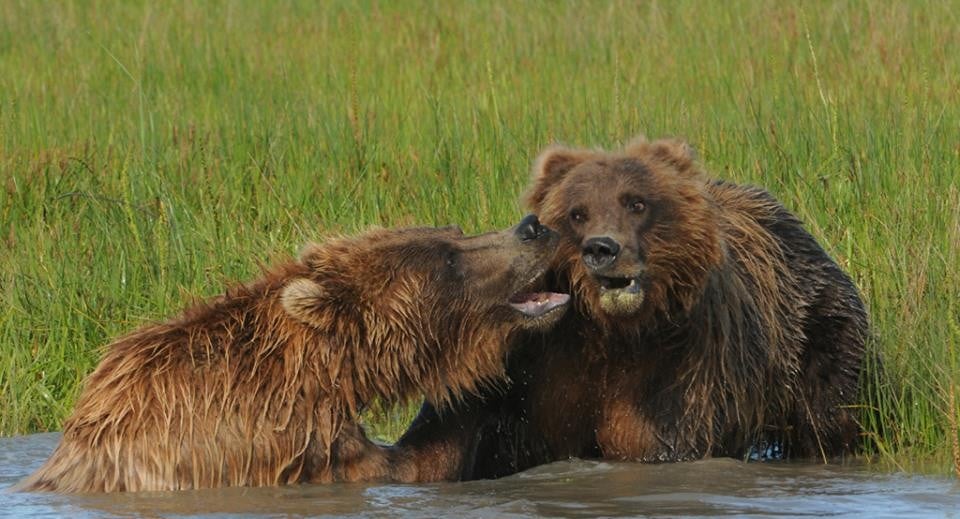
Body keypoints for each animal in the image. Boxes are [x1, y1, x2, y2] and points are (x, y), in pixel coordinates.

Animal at [390, 138, 872, 484]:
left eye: (637, 202)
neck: (610, 332)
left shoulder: (678, 361)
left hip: (815, 336)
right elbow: (450, 435)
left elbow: (654, 440)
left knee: (831, 416)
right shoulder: (530, 358)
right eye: (578, 212)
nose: (603, 248)